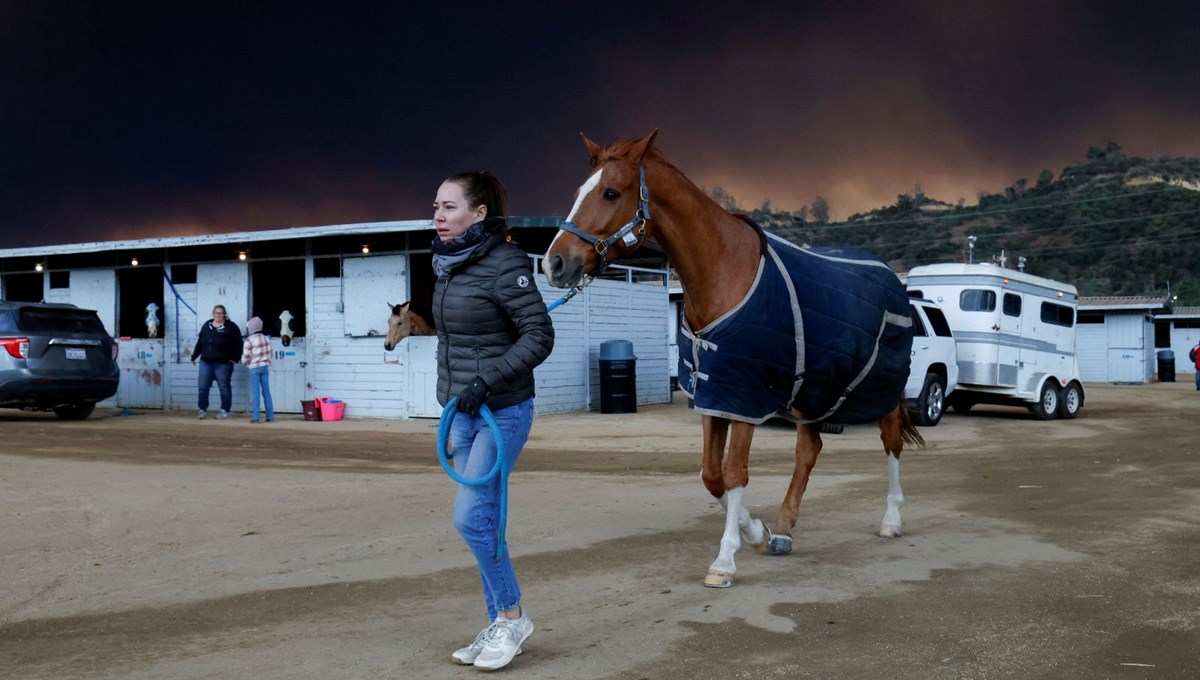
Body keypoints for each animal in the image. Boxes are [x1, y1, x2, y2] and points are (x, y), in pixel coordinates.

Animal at [540, 130, 921, 587]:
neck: (722, 271)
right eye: (578, 191)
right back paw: (785, 529)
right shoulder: (715, 393)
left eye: (611, 192)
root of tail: (892, 279)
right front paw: (758, 532)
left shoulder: (745, 395)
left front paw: (724, 561)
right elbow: (712, 474)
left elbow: (735, 472)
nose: (555, 263)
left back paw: (891, 519)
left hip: (882, 386)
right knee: (809, 448)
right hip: (811, 390)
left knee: (891, 442)